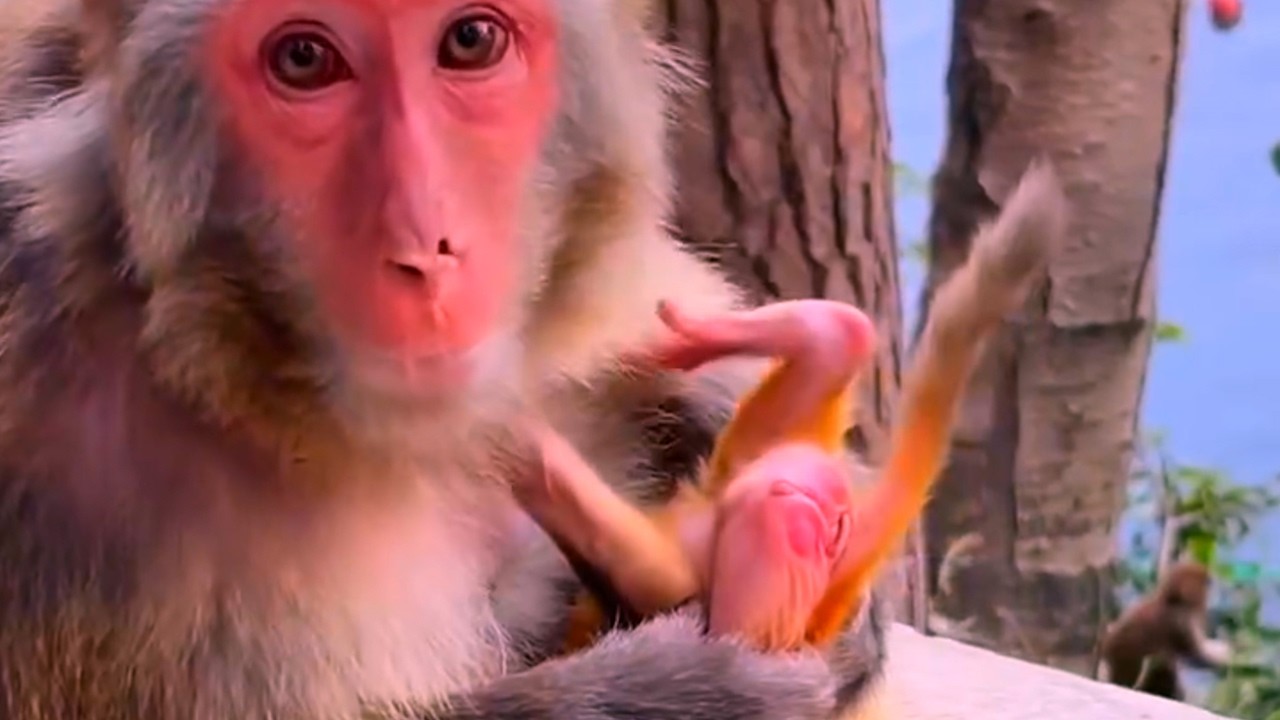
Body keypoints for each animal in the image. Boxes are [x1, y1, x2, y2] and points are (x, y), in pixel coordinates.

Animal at [1100, 561, 1234, 701]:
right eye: (1206, 583)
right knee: (1163, 661)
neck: (1170, 601)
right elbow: (1198, 655)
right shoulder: (1182, 620)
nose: (1214, 584)